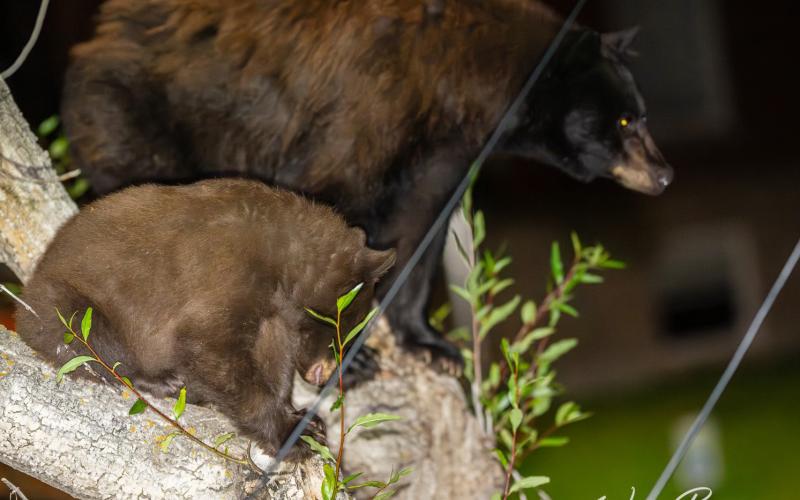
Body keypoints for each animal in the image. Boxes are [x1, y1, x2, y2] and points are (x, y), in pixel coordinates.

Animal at [15, 178, 396, 459]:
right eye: (347, 329)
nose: (327, 375)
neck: (285, 263)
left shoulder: (271, 314)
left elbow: (273, 358)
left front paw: (301, 417)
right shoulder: (225, 274)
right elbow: (209, 348)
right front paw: (291, 436)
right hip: (69, 302)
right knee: (91, 343)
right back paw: (163, 381)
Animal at [61, 0, 673, 370]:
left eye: (642, 113)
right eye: (625, 120)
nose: (665, 174)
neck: (455, 87)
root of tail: (94, 37)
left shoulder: (442, 159)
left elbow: (418, 238)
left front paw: (429, 343)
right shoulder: (366, 114)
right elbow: (330, 218)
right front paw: (349, 359)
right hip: (139, 113)